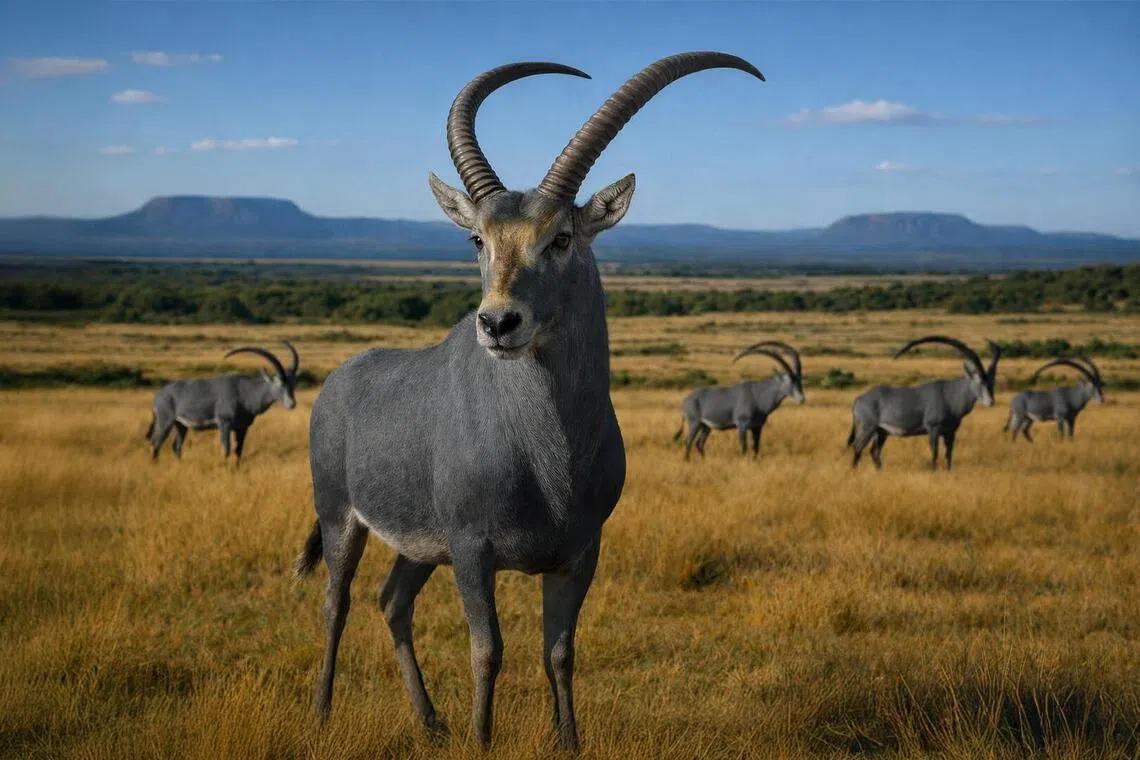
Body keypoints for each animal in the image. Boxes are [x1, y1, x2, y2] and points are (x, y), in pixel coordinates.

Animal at [145, 341, 299, 464]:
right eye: (279, 382)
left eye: (292, 382)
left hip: (181, 425)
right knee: (155, 443)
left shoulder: (242, 428)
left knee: (176, 446)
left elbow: (239, 451)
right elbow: (226, 449)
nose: (292, 404)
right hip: (165, 422)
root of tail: (159, 395)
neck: (245, 392)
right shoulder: (224, 423)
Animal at [293, 52, 765, 750]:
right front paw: (481, 741)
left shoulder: (578, 554)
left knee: (392, 601)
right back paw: (324, 713)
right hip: (341, 518)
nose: (497, 323)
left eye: (561, 237)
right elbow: (488, 650)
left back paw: (431, 723)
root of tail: (340, 382)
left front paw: (568, 742)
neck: (549, 455)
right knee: (337, 601)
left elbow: (559, 652)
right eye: (477, 240)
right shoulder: (472, 550)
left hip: (418, 548)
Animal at [674, 341, 804, 459]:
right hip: (694, 423)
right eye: (789, 380)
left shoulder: (757, 427)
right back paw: (687, 460)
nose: (802, 399)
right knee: (688, 442)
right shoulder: (742, 425)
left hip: (706, 426)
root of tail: (686, 400)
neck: (758, 395)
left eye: (799, 379)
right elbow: (744, 447)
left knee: (699, 443)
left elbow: (756, 448)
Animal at [848, 335, 1001, 470]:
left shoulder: (950, 432)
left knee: (874, 451)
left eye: (992, 380)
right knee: (857, 446)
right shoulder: (933, 429)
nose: (991, 401)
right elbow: (935, 453)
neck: (950, 395)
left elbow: (949, 455)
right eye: (978, 378)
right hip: (868, 427)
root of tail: (858, 399)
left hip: (881, 432)